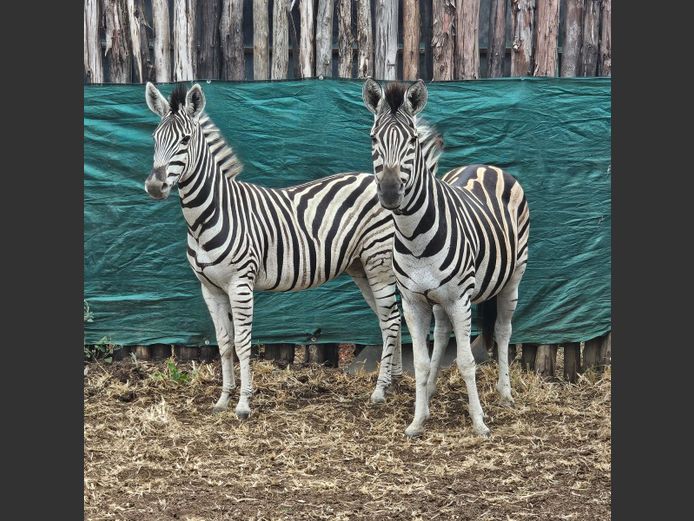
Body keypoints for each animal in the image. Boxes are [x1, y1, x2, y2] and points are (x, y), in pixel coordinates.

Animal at [143, 82, 444, 419]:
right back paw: (391, 381)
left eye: (184, 140)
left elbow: (243, 342)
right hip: (361, 267)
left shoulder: (240, 284)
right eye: (155, 138)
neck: (211, 214)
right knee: (386, 319)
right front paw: (223, 399)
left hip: (377, 261)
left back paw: (380, 390)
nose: (154, 187)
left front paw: (243, 404)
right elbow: (223, 343)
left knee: (390, 320)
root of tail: (378, 181)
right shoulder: (209, 288)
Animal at [362, 79, 530, 438]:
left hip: (514, 276)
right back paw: (432, 390)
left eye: (412, 140)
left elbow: (466, 361)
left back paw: (506, 393)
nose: (390, 193)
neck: (414, 237)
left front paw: (479, 423)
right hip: (438, 299)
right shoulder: (413, 301)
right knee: (440, 335)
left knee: (503, 330)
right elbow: (421, 362)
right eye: (373, 138)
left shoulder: (459, 299)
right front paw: (417, 420)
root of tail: (487, 165)